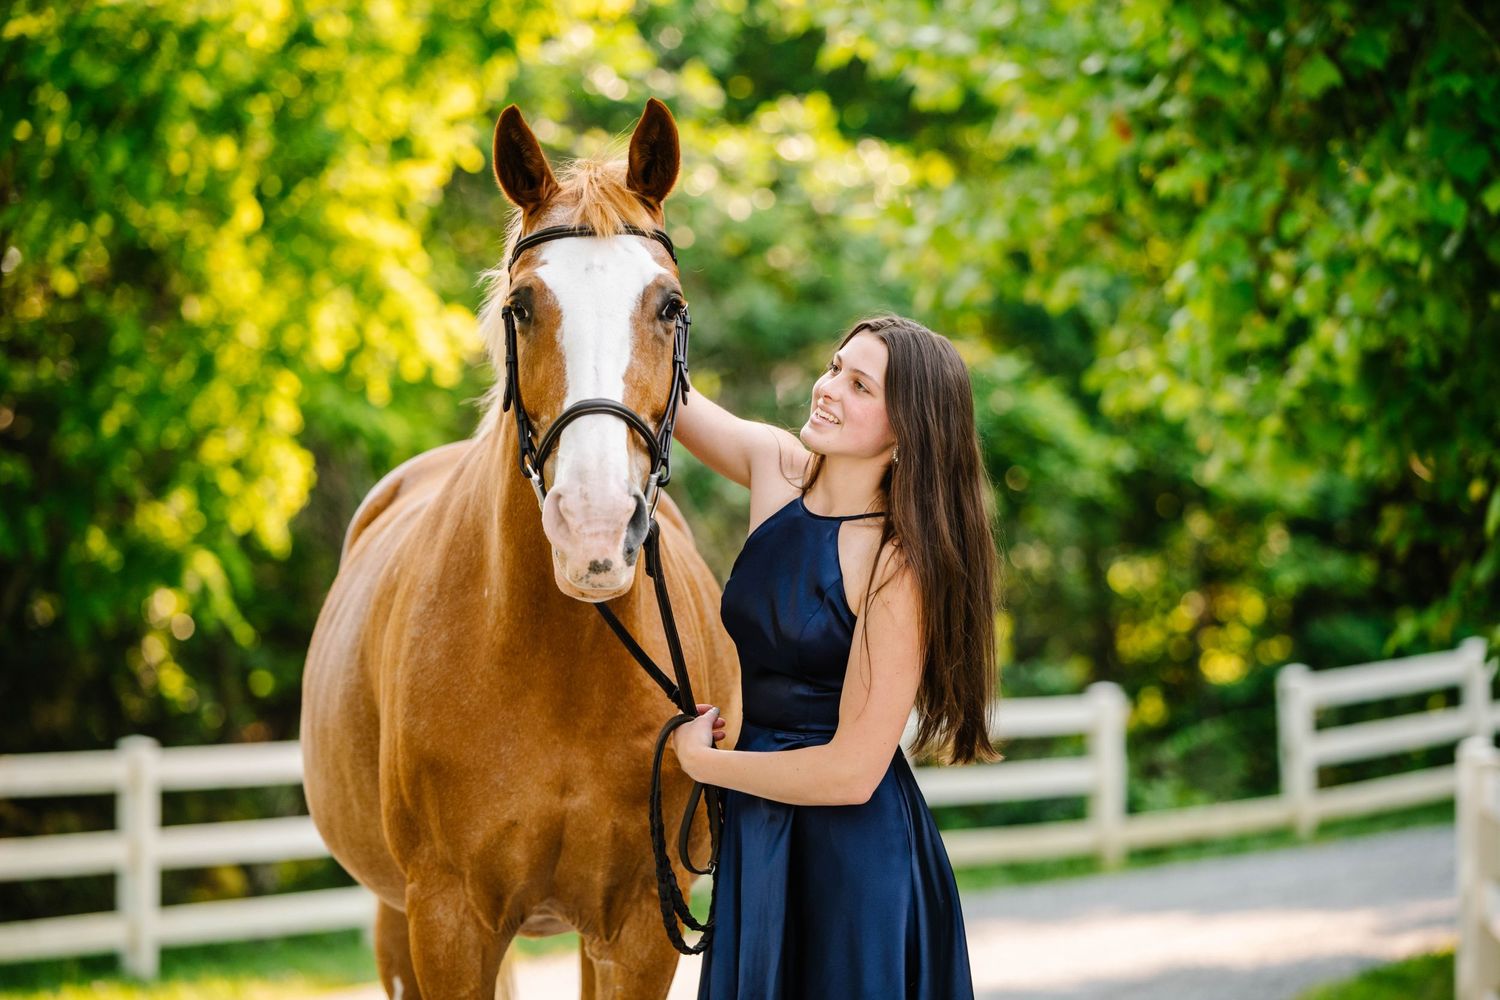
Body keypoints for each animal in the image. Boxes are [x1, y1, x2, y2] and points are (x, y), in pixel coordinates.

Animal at [301, 98, 742, 999]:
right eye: (523, 306)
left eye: (669, 305)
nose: (594, 528)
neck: (560, 664)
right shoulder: (448, 923)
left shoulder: (640, 926)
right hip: (395, 919)